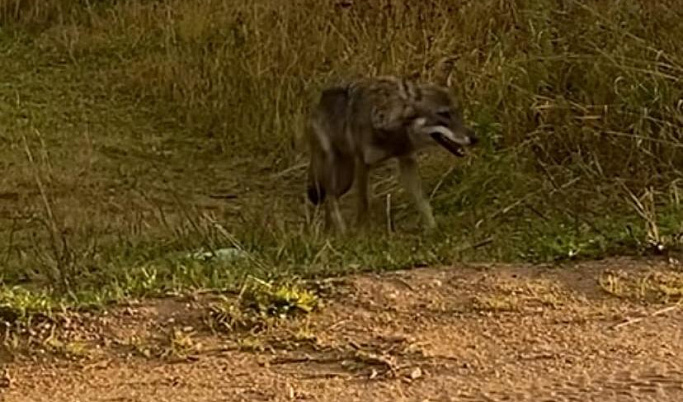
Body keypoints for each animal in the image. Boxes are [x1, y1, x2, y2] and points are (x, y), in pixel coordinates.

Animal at [308, 75, 478, 232]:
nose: (475, 138)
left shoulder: (407, 160)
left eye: (458, 112)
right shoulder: (363, 164)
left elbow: (422, 201)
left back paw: (332, 233)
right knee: (330, 198)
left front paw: (433, 229)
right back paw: (342, 234)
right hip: (342, 176)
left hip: (345, 180)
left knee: (329, 200)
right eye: (443, 114)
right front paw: (363, 234)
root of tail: (318, 102)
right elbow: (363, 206)